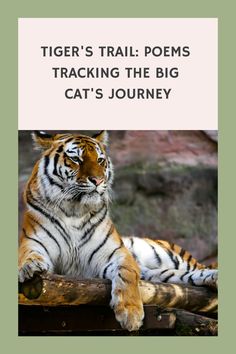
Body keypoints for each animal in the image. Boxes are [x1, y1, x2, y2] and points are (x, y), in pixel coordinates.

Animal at [18, 130, 218, 332]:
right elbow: (29, 255)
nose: (98, 180)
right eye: (76, 159)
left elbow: (127, 275)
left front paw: (131, 314)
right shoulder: (33, 242)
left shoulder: (117, 254)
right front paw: (30, 267)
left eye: (100, 160)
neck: (74, 211)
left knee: (200, 268)